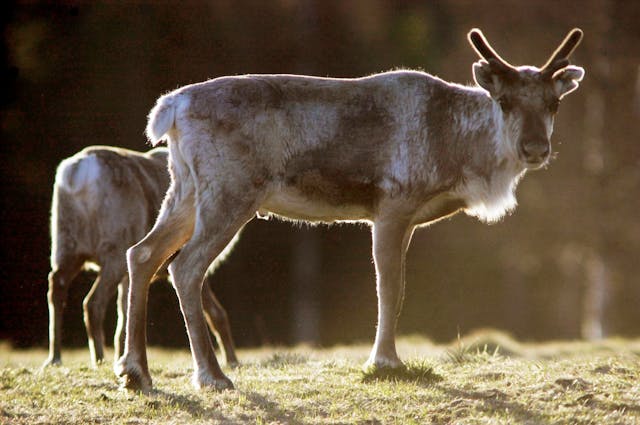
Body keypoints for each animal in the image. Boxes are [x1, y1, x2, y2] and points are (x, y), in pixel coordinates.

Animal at [44, 146, 238, 369]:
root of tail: (77, 175)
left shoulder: (129, 277)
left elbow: (124, 318)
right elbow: (216, 313)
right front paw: (233, 361)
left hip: (65, 247)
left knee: (56, 288)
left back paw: (54, 358)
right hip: (114, 254)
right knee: (92, 303)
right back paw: (99, 360)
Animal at [115, 28, 584, 392]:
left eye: (553, 104)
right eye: (504, 101)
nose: (535, 149)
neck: (456, 148)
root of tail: (170, 108)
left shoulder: (407, 219)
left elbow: (395, 288)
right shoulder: (392, 205)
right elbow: (390, 287)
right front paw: (384, 361)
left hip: (186, 189)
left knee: (142, 254)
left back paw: (135, 372)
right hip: (229, 192)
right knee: (185, 266)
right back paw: (211, 376)